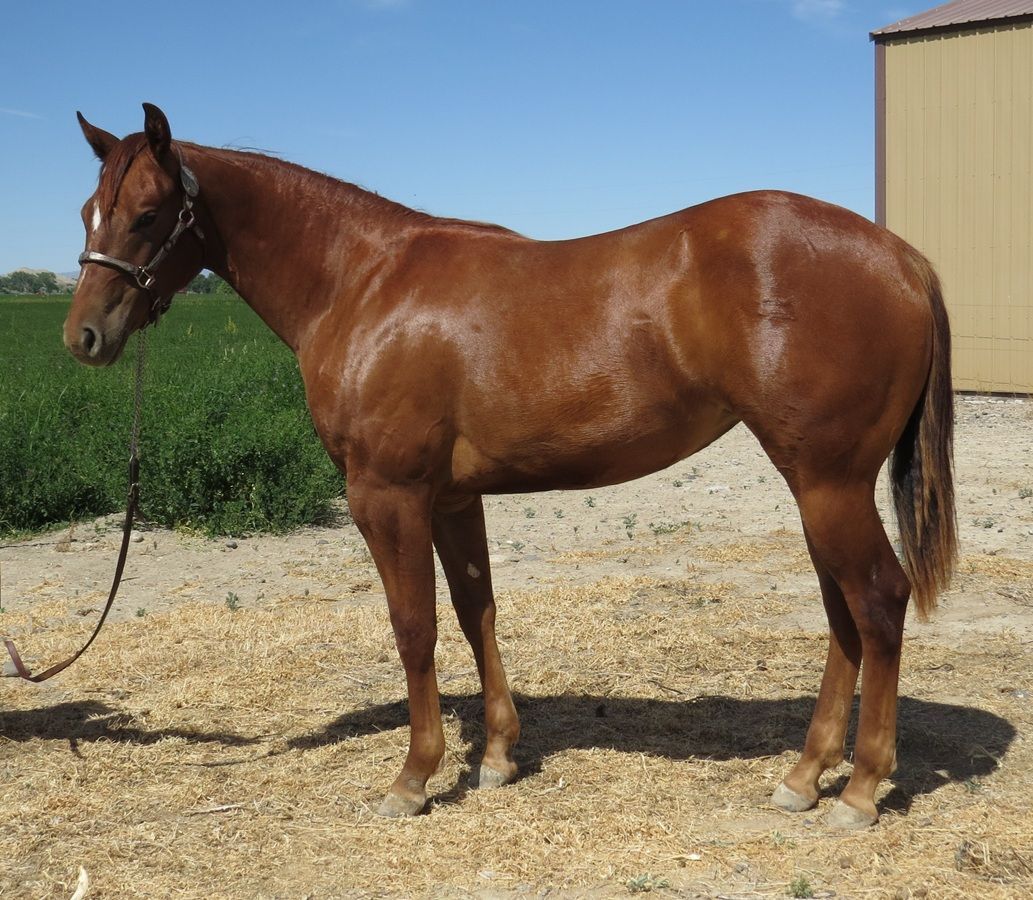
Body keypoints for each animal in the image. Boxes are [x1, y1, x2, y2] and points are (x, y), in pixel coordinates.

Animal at [65, 103, 956, 828]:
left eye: (147, 214)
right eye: (87, 211)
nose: (83, 338)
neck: (363, 282)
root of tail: (900, 257)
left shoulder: (385, 495)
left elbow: (414, 626)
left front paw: (414, 778)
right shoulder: (454, 499)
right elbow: (475, 611)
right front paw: (495, 756)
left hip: (828, 483)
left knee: (877, 602)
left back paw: (858, 791)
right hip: (814, 486)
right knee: (842, 615)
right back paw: (804, 777)